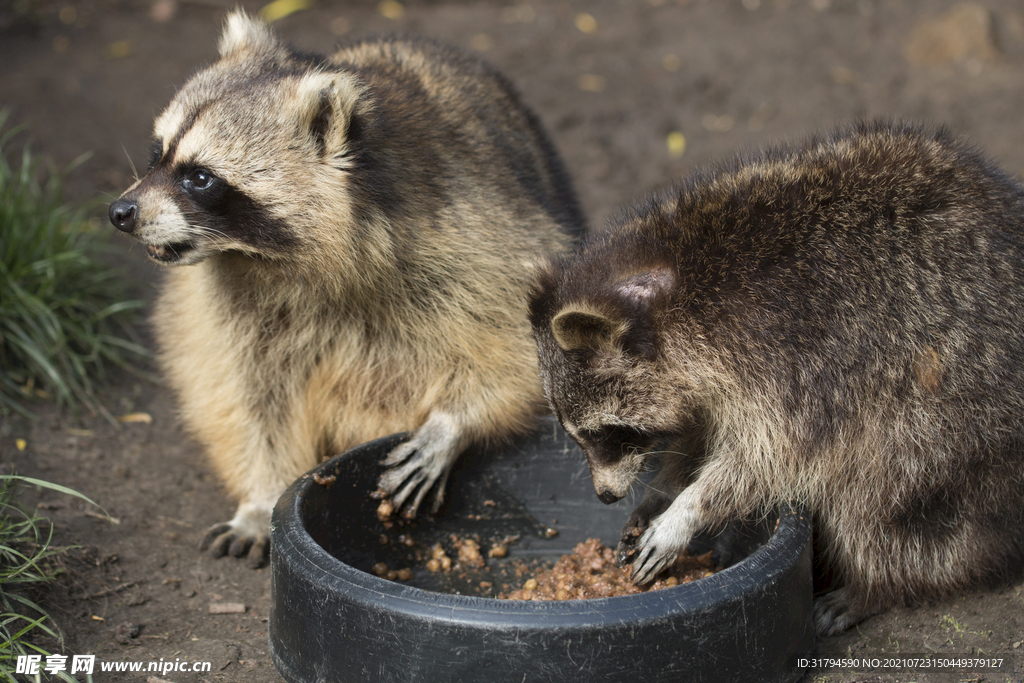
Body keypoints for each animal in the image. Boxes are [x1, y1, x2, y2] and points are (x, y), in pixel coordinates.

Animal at [105, 10, 585, 569]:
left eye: (200, 178)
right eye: (157, 154)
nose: (120, 212)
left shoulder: (474, 233)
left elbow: (524, 344)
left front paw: (452, 423)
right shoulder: (224, 300)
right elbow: (245, 394)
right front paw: (261, 497)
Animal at [528, 121, 1024, 634]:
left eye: (606, 433)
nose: (605, 496)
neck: (674, 282)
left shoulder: (803, 359)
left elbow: (769, 460)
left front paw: (689, 509)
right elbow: (703, 427)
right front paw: (665, 487)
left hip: (959, 415)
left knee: (882, 498)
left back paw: (876, 584)